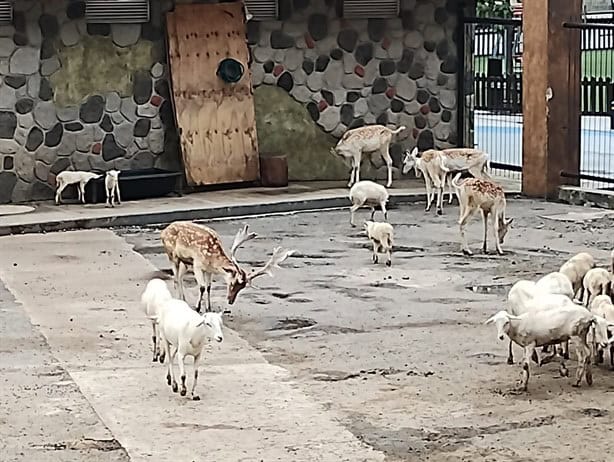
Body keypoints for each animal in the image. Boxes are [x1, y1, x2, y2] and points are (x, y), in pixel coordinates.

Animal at [161, 222, 296, 312]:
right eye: (233, 283)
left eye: (242, 287)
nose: (230, 301)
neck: (212, 259)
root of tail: (163, 231)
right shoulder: (197, 264)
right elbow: (202, 287)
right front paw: (198, 308)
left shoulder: (208, 270)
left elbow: (209, 287)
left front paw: (209, 308)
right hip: (172, 255)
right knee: (176, 278)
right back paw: (180, 299)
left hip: (184, 262)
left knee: (179, 277)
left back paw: (183, 299)